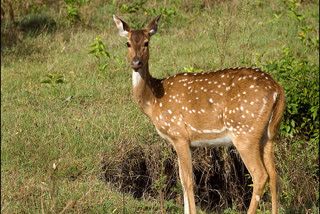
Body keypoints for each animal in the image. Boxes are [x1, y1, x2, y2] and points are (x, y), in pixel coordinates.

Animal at [114, 13, 286, 214]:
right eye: (127, 43)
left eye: (146, 42)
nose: (136, 62)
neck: (153, 102)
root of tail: (277, 90)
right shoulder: (183, 142)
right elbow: (182, 180)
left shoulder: (179, 134)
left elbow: (189, 181)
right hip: (269, 134)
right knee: (274, 175)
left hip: (244, 131)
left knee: (260, 175)